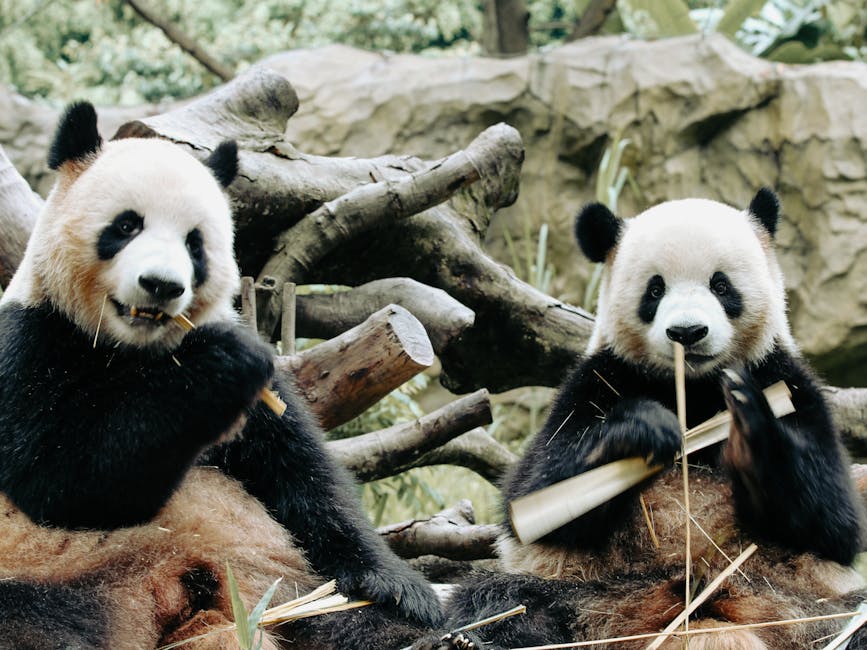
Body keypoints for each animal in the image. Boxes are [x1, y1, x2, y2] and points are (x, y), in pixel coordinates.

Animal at [0, 102, 449, 649]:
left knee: (340, 619)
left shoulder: (261, 405)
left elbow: (303, 479)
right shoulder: (31, 342)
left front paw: (400, 587)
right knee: (36, 621)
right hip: (46, 572)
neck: (134, 351)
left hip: (279, 590)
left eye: (195, 244)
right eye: (126, 226)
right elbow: (59, 482)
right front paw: (220, 365)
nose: (161, 285)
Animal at [435, 190, 867, 649]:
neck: (692, 389)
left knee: (851, 616)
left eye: (721, 285)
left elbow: (835, 520)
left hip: (799, 603)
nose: (688, 332)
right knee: (504, 601)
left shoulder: (785, 380)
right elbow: (537, 492)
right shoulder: (597, 381)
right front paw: (642, 430)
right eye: (655, 289)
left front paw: (751, 435)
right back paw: (470, 638)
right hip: (583, 591)